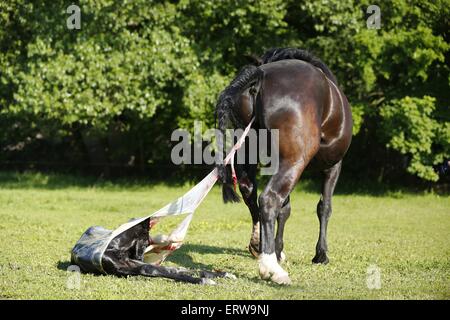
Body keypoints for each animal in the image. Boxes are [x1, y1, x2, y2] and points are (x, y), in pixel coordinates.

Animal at [216, 46, 354, 284]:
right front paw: (321, 255)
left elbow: (285, 209)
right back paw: (271, 268)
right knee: (269, 199)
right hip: (294, 162)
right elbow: (324, 207)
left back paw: (259, 246)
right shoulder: (333, 167)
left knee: (250, 191)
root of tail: (260, 76)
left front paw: (278, 249)